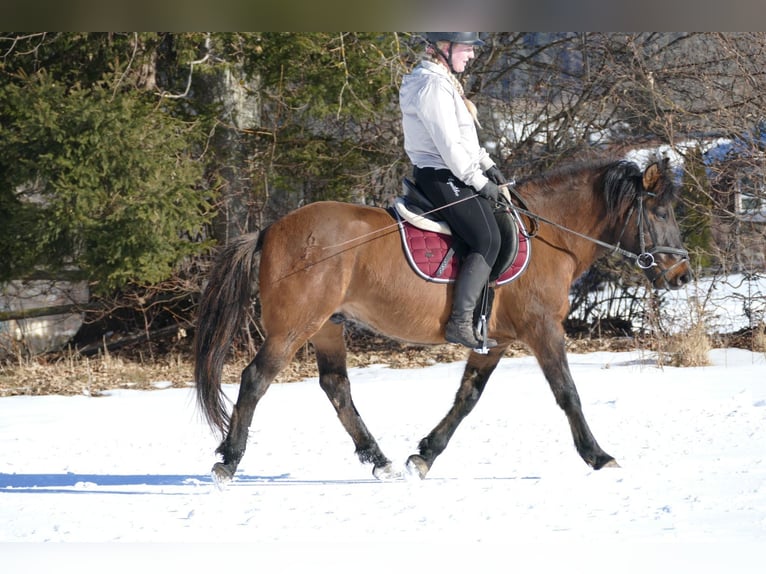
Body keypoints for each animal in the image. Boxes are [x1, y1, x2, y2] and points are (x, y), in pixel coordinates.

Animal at [194, 155, 696, 484]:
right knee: (255, 379)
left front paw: (424, 456)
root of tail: (270, 229)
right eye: (660, 211)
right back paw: (228, 461)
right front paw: (598, 456)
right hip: (294, 326)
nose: (682, 274)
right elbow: (567, 393)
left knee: (336, 387)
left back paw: (380, 460)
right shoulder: (542, 331)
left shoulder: (495, 340)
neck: (551, 236)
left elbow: (467, 398)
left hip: (327, 326)